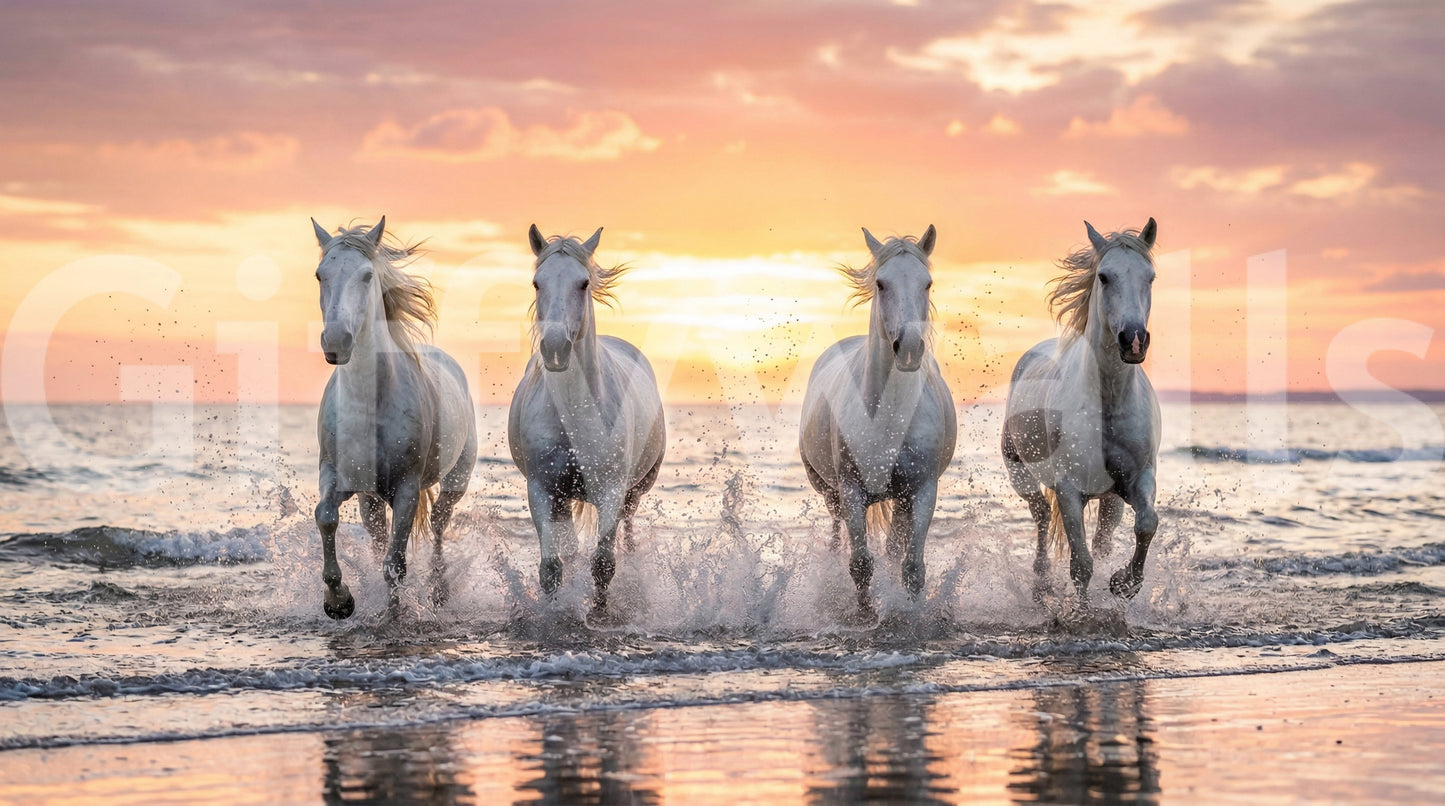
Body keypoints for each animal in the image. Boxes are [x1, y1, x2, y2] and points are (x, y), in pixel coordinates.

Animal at [310, 217, 477, 619]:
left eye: (367, 275)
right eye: (321, 274)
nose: (336, 341)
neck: (369, 407)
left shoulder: (406, 490)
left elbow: (396, 563)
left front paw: (395, 614)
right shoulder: (336, 475)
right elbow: (326, 516)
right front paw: (339, 601)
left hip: (454, 482)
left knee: (437, 525)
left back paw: (438, 591)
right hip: (369, 499)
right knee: (378, 536)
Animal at [508, 225, 665, 624]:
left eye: (583, 283)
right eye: (537, 283)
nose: (555, 348)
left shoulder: (611, 491)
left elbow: (604, 563)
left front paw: (599, 614)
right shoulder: (543, 491)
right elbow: (551, 567)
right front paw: (553, 613)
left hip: (633, 493)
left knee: (626, 538)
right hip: (564, 500)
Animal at [800, 226, 957, 620]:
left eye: (927, 283)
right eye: (882, 284)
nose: (910, 347)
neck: (891, 416)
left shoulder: (922, 490)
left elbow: (912, 567)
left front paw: (911, 614)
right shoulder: (851, 490)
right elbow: (859, 563)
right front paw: (865, 614)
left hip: (900, 500)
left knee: (894, 550)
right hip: (830, 493)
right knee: (838, 538)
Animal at [1001, 218, 1161, 604]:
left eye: (1149, 277)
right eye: (1103, 276)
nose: (1134, 340)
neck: (1109, 402)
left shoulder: (1139, 478)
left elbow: (1146, 524)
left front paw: (1123, 583)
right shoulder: (1070, 490)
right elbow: (1080, 565)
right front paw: (1082, 612)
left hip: (1111, 500)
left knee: (1102, 538)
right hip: (1020, 474)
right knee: (1042, 516)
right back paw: (1041, 584)